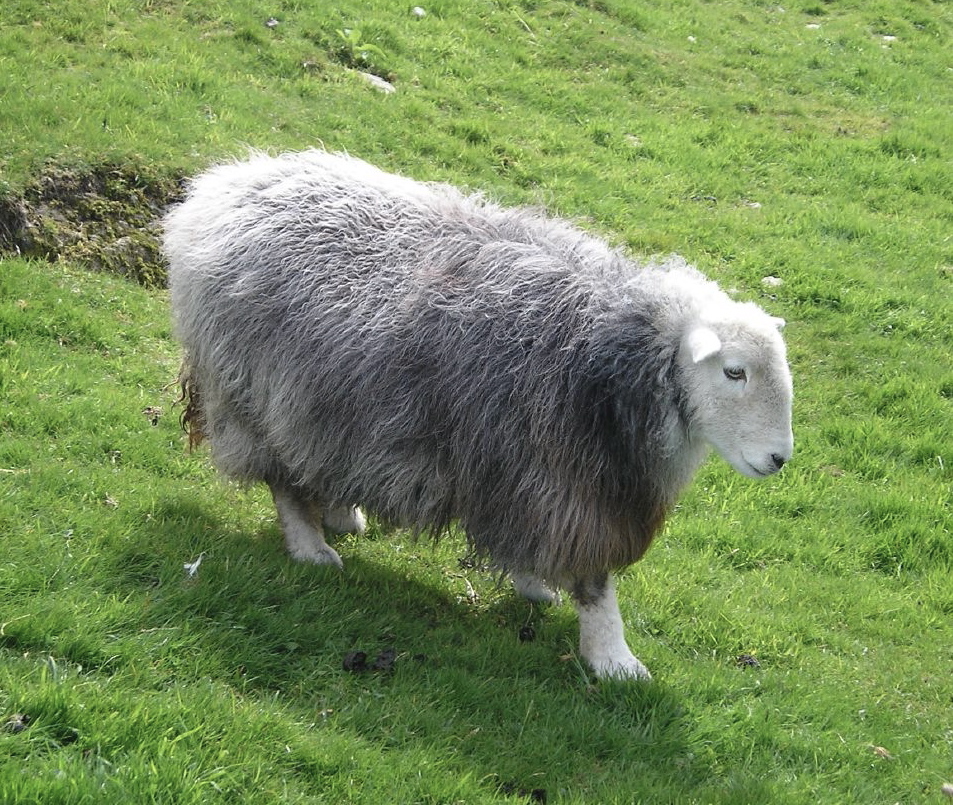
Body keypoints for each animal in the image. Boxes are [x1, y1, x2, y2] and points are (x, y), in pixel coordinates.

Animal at [160, 149, 792, 680]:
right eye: (734, 371)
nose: (779, 458)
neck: (620, 354)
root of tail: (218, 190)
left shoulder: (534, 478)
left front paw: (535, 585)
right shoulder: (569, 483)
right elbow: (595, 580)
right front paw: (614, 659)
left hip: (331, 400)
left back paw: (341, 511)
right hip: (258, 393)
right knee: (284, 477)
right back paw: (311, 546)